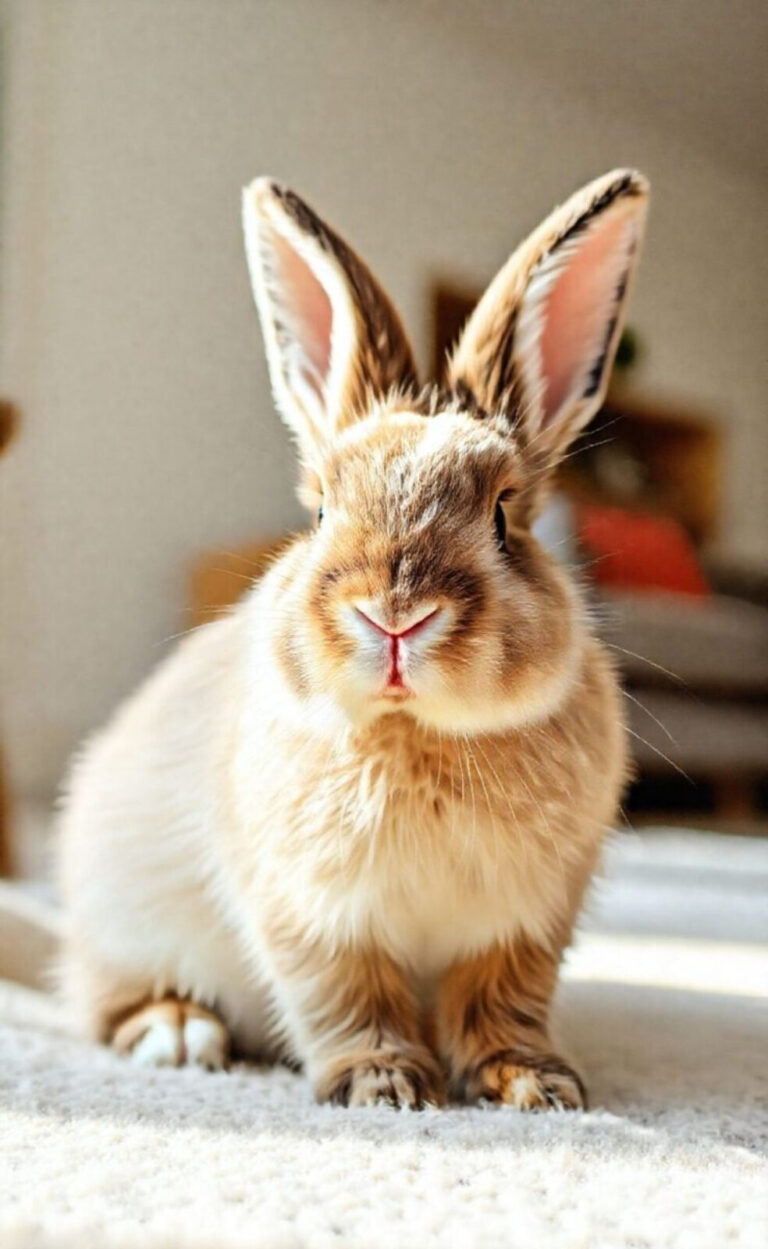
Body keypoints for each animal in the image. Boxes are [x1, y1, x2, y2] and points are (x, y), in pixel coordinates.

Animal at [58, 168, 648, 1110]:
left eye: (503, 516)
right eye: (322, 511)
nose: (395, 616)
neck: (416, 731)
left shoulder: (524, 926)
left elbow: (502, 1004)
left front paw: (537, 1085)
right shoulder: (313, 918)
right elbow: (347, 1000)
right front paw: (385, 1086)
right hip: (123, 920)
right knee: (109, 1003)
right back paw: (179, 1035)